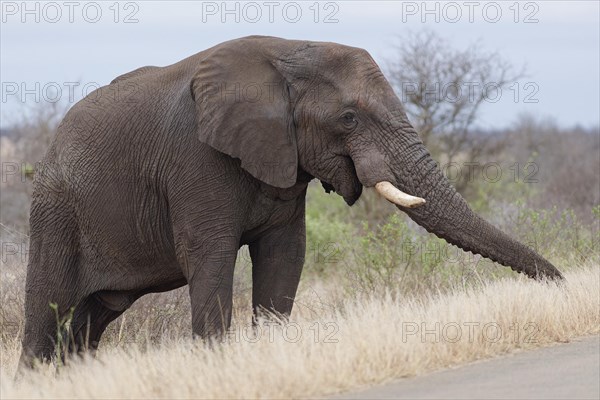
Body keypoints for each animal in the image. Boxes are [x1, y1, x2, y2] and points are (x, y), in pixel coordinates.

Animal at [19, 36, 564, 368]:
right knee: (48, 312)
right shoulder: (197, 160)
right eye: (348, 118)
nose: (564, 283)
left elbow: (285, 256)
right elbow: (210, 259)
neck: (289, 52)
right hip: (54, 210)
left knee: (92, 318)